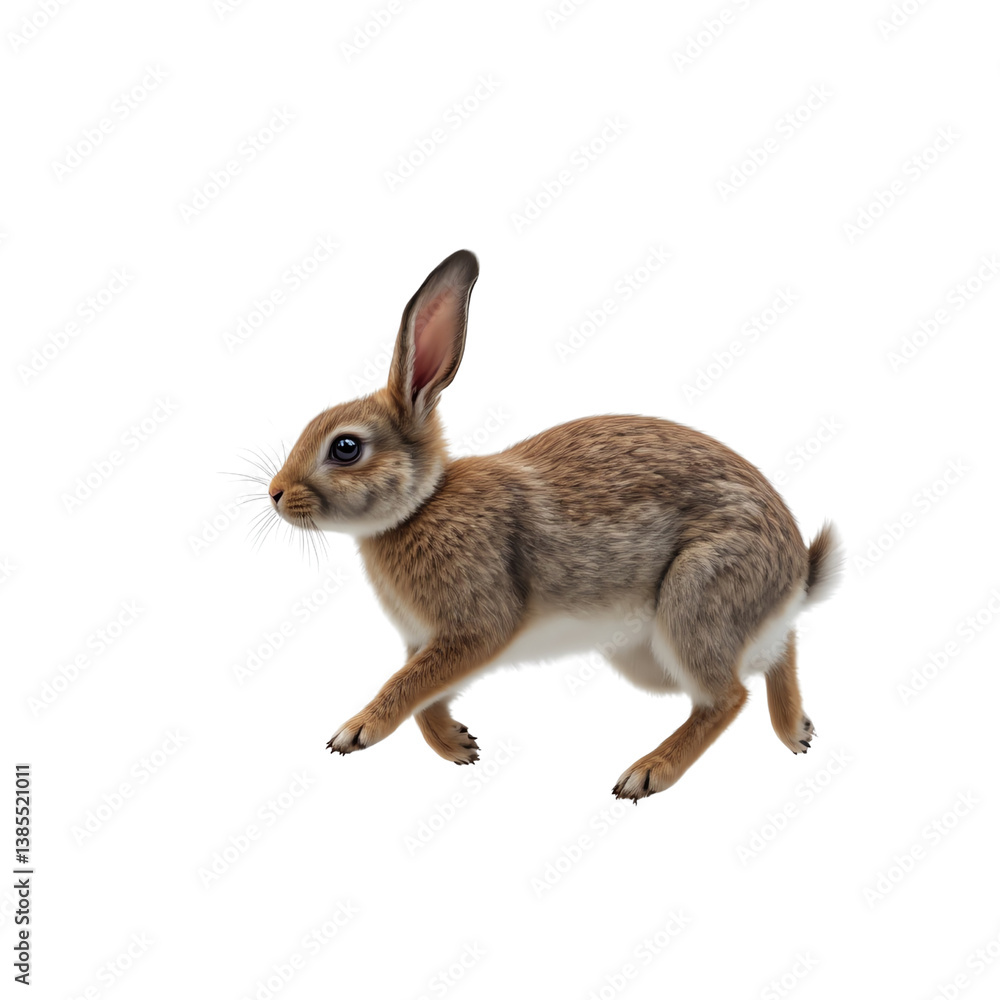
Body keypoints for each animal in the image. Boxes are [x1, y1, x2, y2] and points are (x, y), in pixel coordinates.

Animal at [265, 249, 843, 801]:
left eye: (345, 447)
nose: (274, 494)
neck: (421, 504)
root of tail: (796, 572)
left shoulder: (476, 628)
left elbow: (407, 684)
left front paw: (357, 731)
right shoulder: (426, 641)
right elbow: (424, 694)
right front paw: (457, 745)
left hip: (695, 600)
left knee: (726, 697)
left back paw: (648, 773)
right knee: (774, 652)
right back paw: (795, 728)